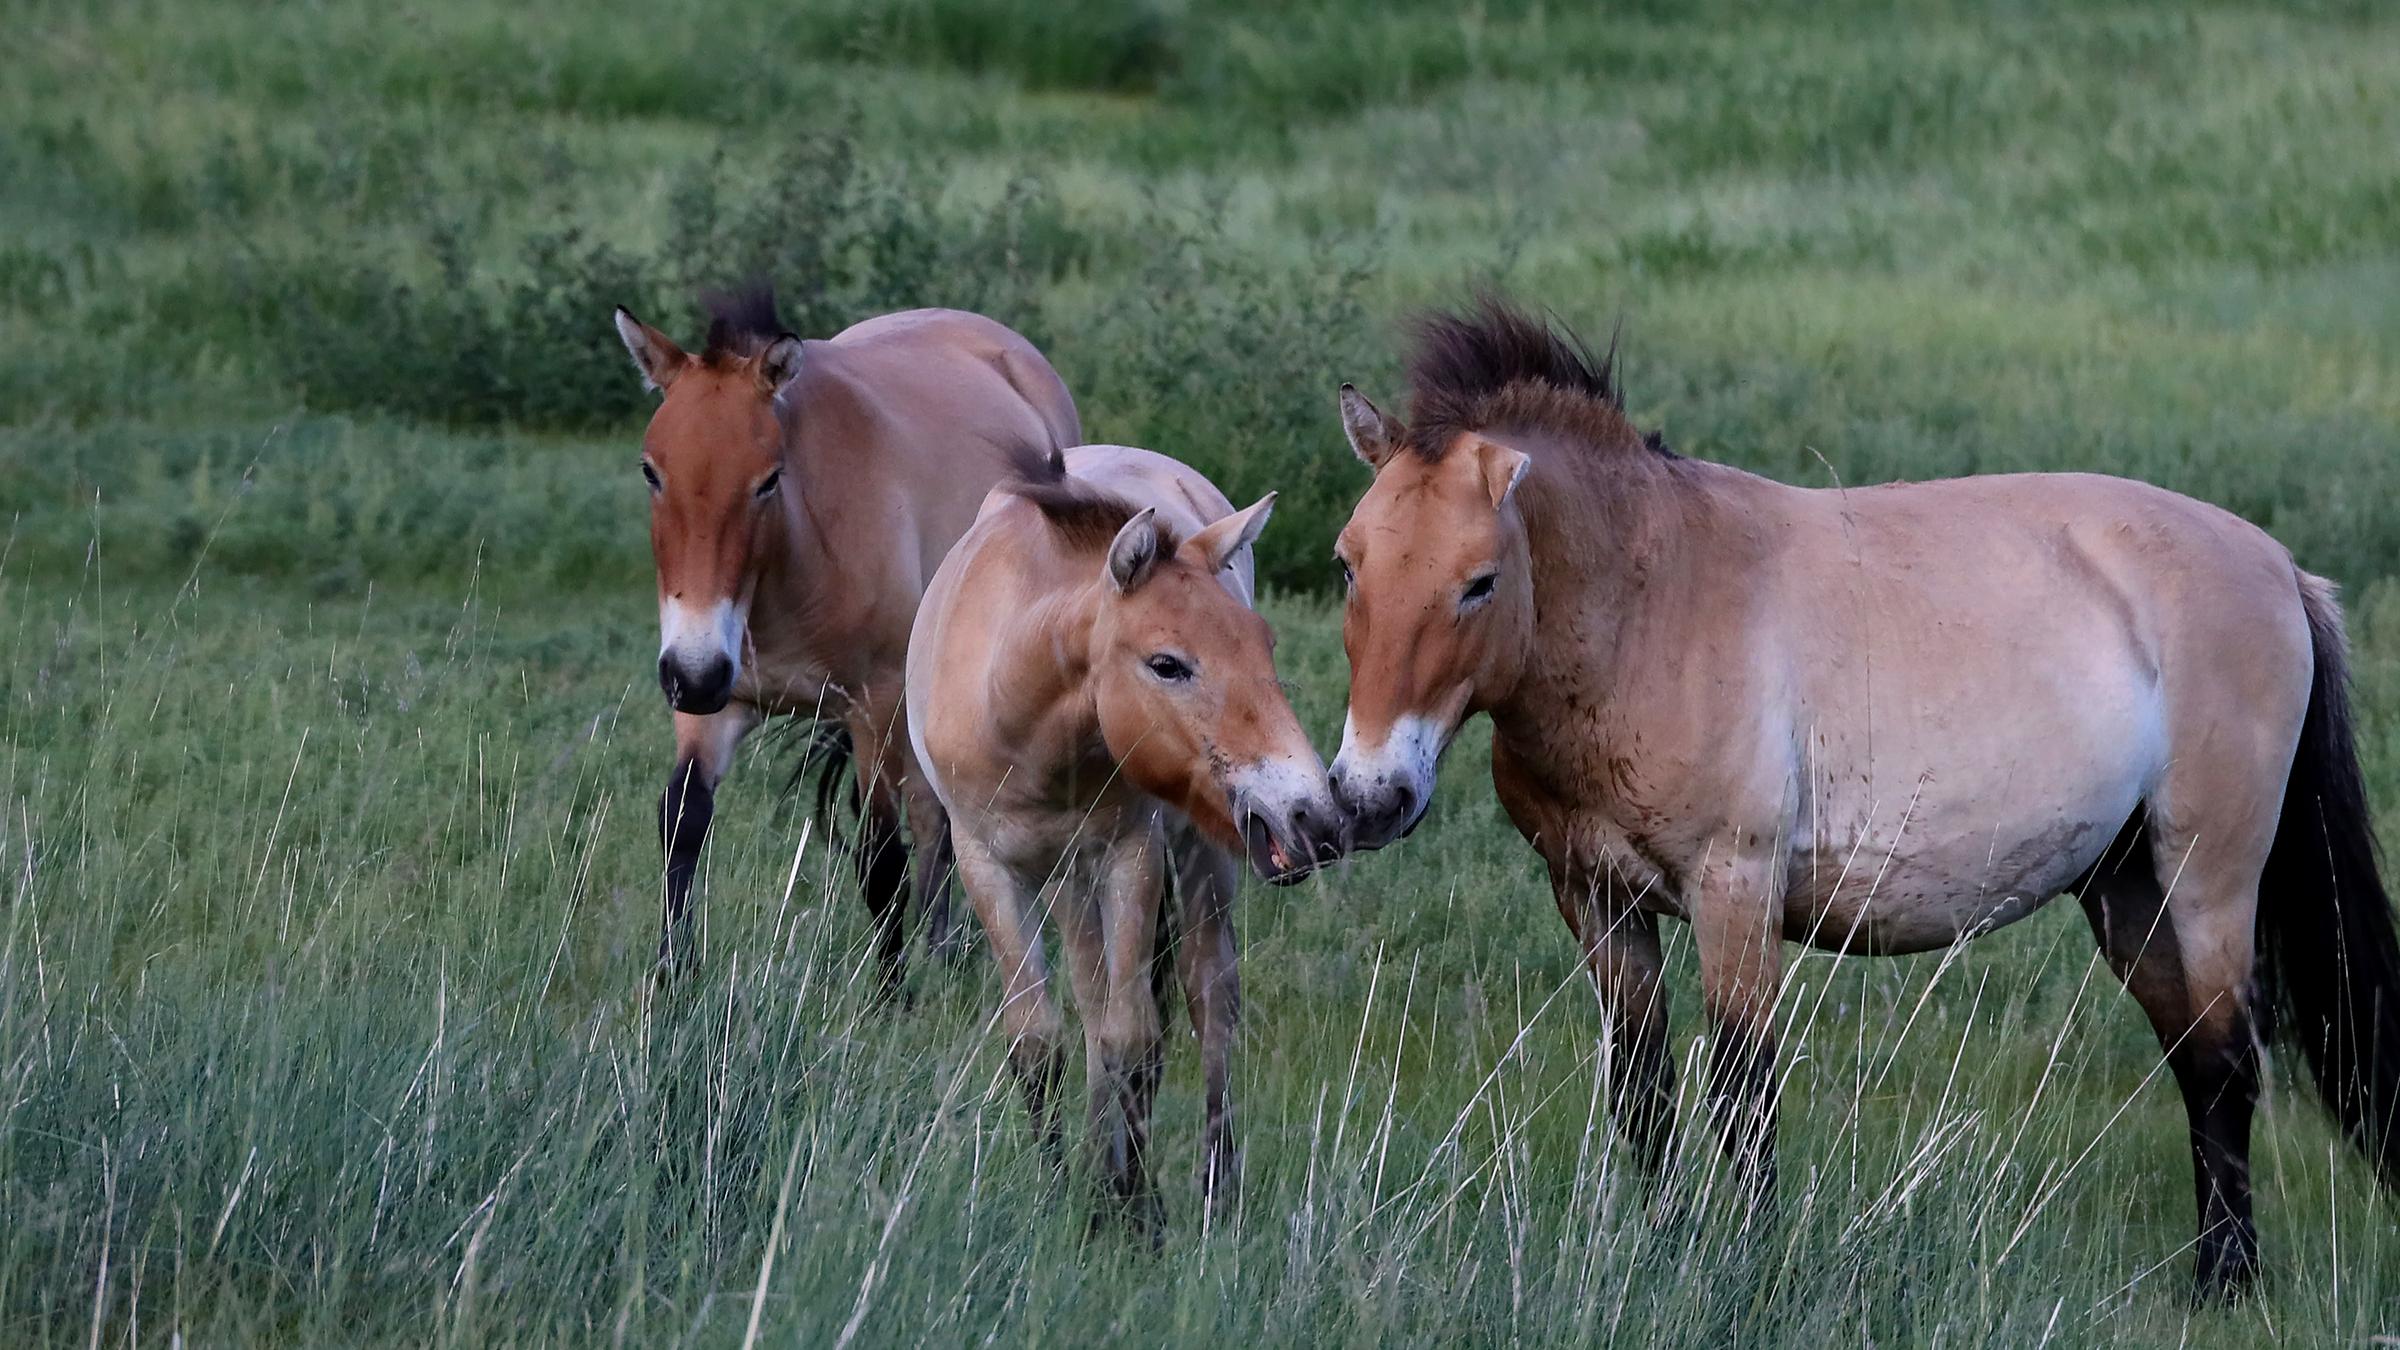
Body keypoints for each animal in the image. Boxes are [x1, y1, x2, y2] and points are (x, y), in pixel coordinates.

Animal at [612, 288, 1081, 989]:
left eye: (768, 479)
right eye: (651, 471)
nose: (693, 673)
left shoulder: (874, 706)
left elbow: (881, 855)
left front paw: (891, 996)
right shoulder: (713, 703)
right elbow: (682, 821)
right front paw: (673, 982)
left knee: (936, 820)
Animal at [906, 444, 1345, 1233]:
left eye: (1264, 645)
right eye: (1167, 663)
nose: (1313, 819)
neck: (1014, 697)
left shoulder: (1130, 858)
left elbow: (1134, 1039)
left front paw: (1140, 1218)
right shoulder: (988, 866)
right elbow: (1041, 1040)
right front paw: (1065, 1194)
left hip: (1197, 862)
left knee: (1207, 1002)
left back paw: (1215, 1188)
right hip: (1068, 881)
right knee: (1091, 1010)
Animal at [1324, 297, 2400, 1298]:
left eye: (1479, 581)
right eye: (1348, 564)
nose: (1370, 794)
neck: (1650, 605)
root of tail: (2279, 567)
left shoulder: (1735, 891)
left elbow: (1741, 1090)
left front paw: (1749, 1263)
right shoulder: (1597, 899)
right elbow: (1644, 1089)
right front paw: (1661, 1250)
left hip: (2208, 877)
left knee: (2226, 1057)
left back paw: (2226, 1280)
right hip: (2125, 886)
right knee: (2192, 1054)